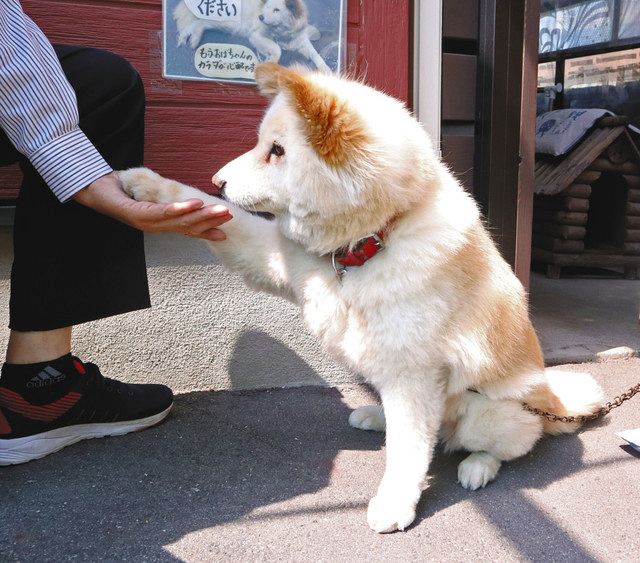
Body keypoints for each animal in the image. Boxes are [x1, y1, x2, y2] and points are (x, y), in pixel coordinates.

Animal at [117, 64, 604, 536]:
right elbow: (223, 217)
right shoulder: (278, 258)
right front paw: (148, 185)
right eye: (261, 145)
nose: (216, 181)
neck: (366, 243)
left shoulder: (415, 373)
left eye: (277, 151)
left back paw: (477, 467)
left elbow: (408, 450)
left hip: (488, 411)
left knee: (503, 443)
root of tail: (552, 403)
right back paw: (375, 416)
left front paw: (395, 504)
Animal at [175, 0, 330, 71]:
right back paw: (187, 37)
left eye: (276, 10)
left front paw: (326, 69)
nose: (261, 17)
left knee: (201, 23)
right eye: (267, 8)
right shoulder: (256, 36)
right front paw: (269, 61)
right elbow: (277, 49)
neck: (282, 32)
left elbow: (315, 54)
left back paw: (194, 39)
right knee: (195, 22)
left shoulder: (300, 40)